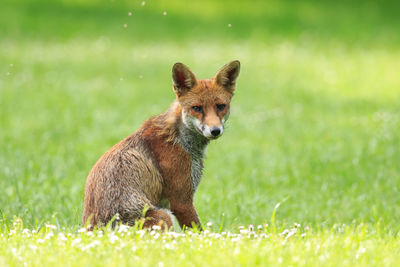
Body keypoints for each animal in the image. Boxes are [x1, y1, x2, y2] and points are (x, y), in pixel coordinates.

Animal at [82, 60, 241, 230]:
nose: (215, 130)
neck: (179, 139)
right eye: (197, 108)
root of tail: (92, 230)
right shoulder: (181, 202)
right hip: (163, 216)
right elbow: (198, 232)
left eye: (220, 106)